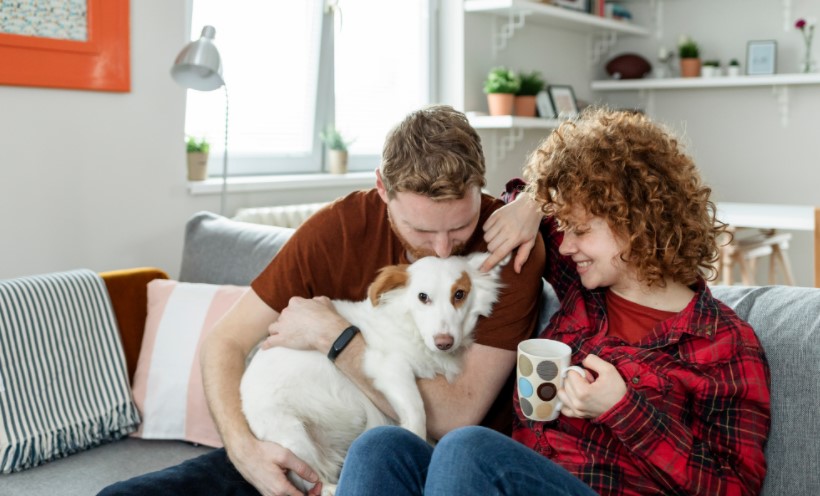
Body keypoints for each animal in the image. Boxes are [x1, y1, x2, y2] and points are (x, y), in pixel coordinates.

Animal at [240, 254, 502, 494]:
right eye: (422, 297)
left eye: (459, 294)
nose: (444, 343)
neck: (410, 327)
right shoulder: (388, 366)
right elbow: (417, 411)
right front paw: (414, 437)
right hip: (293, 437)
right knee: (315, 481)